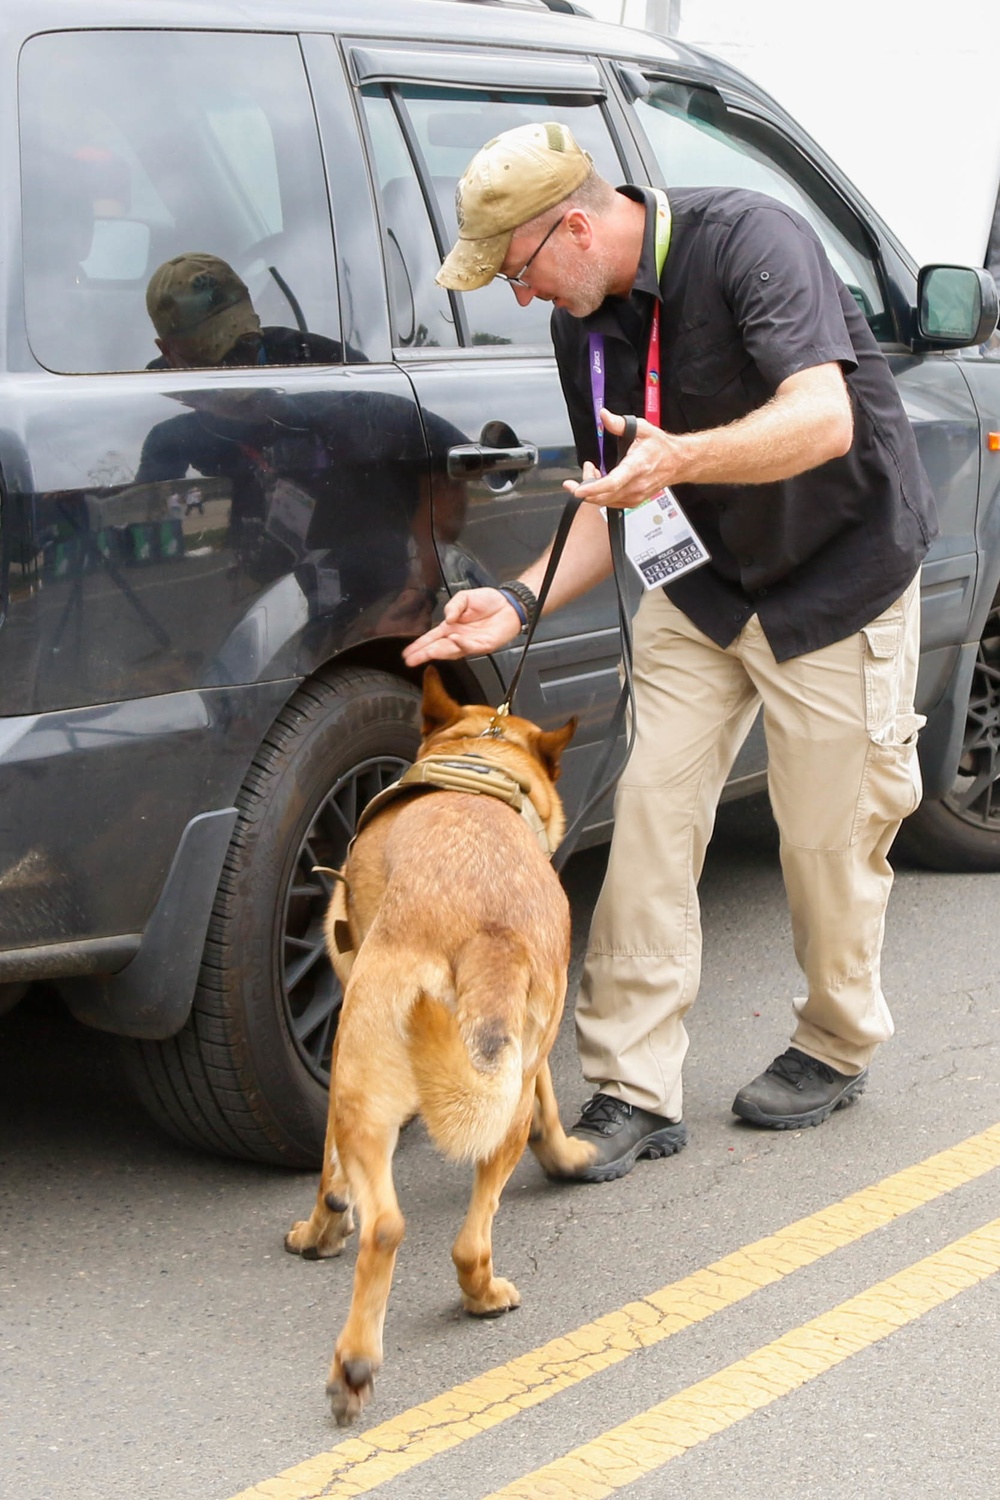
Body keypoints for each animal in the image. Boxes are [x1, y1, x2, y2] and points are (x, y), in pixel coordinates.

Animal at [283, 666, 593, 1416]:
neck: (480, 763)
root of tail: (489, 932)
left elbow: (329, 1178)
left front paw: (320, 1230)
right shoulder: (524, 1061)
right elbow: (548, 1103)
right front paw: (566, 1156)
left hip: (360, 1082)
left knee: (385, 1225)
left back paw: (354, 1362)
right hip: (502, 1090)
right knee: (471, 1233)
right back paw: (480, 1295)